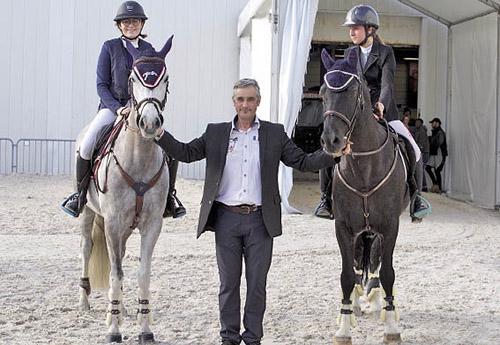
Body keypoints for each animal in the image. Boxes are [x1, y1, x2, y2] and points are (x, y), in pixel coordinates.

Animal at [76, 36, 174, 342]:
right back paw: (85, 302)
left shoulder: (151, 224)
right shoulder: (113, 221)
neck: (138, 157)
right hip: (89, 213)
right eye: (133, 77)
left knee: (116, 256)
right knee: (87, 248)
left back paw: (122, 309)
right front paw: (113, 331)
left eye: (165, 77)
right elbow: (116, 273)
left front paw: (145, 329)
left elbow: (142, 274)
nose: (150, 123)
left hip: (127, 227)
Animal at [320, 49, 410, 344]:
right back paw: (359, 302)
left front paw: (391, 327)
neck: (364, 166)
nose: (331, 141)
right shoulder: (344, 227)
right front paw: (344, 328)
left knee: (376, 263)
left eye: (351, 92)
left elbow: (388, 273)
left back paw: (375, 298)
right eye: (323, 93)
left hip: (377, 229)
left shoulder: (390, 226)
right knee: (361, 262)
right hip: (362, 230)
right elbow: (347, 274)